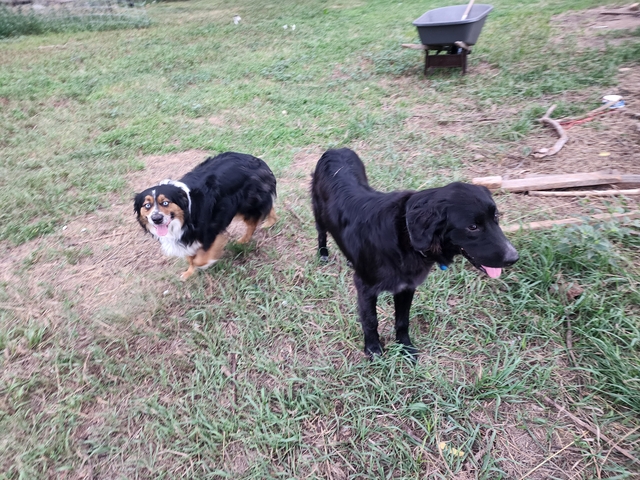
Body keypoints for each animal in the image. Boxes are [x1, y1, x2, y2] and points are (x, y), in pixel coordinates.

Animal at [134, 152, 277, 280]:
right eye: (147, 205)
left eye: (165, 202)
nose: (156, 219)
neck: (184, 217)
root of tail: (256, 160)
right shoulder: (185, 238)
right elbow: (190, 258)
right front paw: (189, 273)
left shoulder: (210, 232)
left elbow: (199, 259)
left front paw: (207, 262)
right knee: (267, 207)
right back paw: (270, 221)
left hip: (246, 203)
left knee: (255, 219)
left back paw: (247, 238)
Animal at [311, 148, 519, 358]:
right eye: (473, 227)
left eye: (496, 217)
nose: (514, 258)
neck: (405, 236)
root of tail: (336, 149)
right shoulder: (366, 288)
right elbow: (370, 321)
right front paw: (374, 349)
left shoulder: (406, 287)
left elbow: (403, 320)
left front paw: (405, 347)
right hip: (318, 214)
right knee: (321, 233)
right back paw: (323, 254)